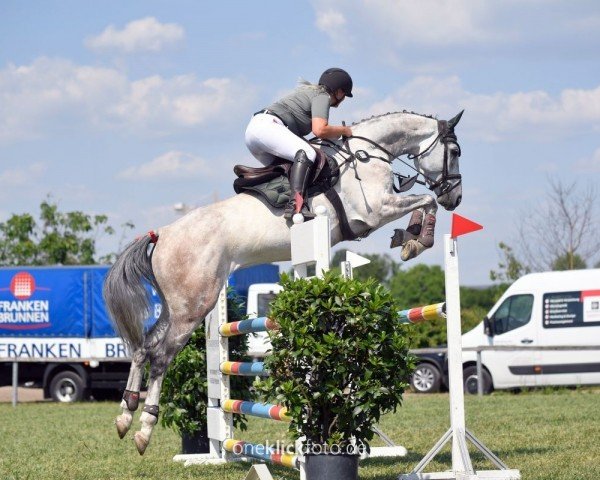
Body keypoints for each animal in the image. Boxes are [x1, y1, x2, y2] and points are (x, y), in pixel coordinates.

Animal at [104, 109, 464, 454]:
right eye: (455, 152)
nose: (456, 198)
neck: (369, 152)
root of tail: (162, 234)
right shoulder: (377, 210)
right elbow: (425, 201)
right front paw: (415, 240)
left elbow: (424, 202)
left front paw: (408, 238)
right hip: (194, 305)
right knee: (161, 356)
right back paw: (144, 429)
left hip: (175, 305)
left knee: (144, 346)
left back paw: (125, 415)